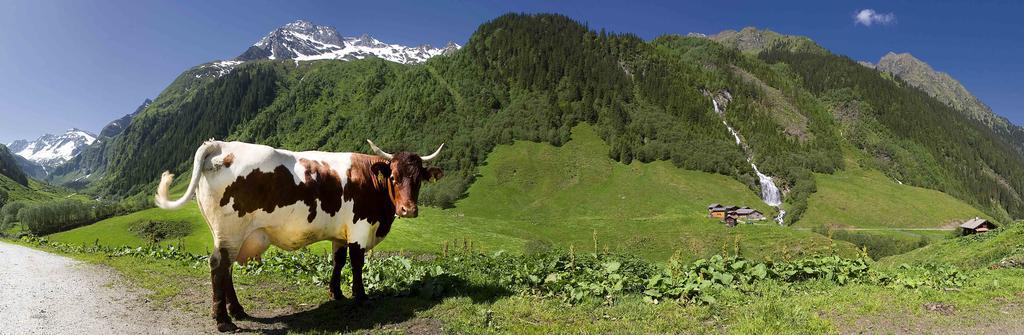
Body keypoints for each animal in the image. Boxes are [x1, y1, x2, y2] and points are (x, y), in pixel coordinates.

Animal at [153, 139, 442, 333]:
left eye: (418, 179)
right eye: (393, 176)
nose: (408, 209)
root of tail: (219, 144)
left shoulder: (340, 234)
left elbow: (338, 262)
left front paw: (336, 293)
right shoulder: (360, 229)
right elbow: (357, 264)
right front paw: (360, 296)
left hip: (231, 235)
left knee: (227, 270)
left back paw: (237, 310)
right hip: (230, 231)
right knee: (218, 266)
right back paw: (224, 321)